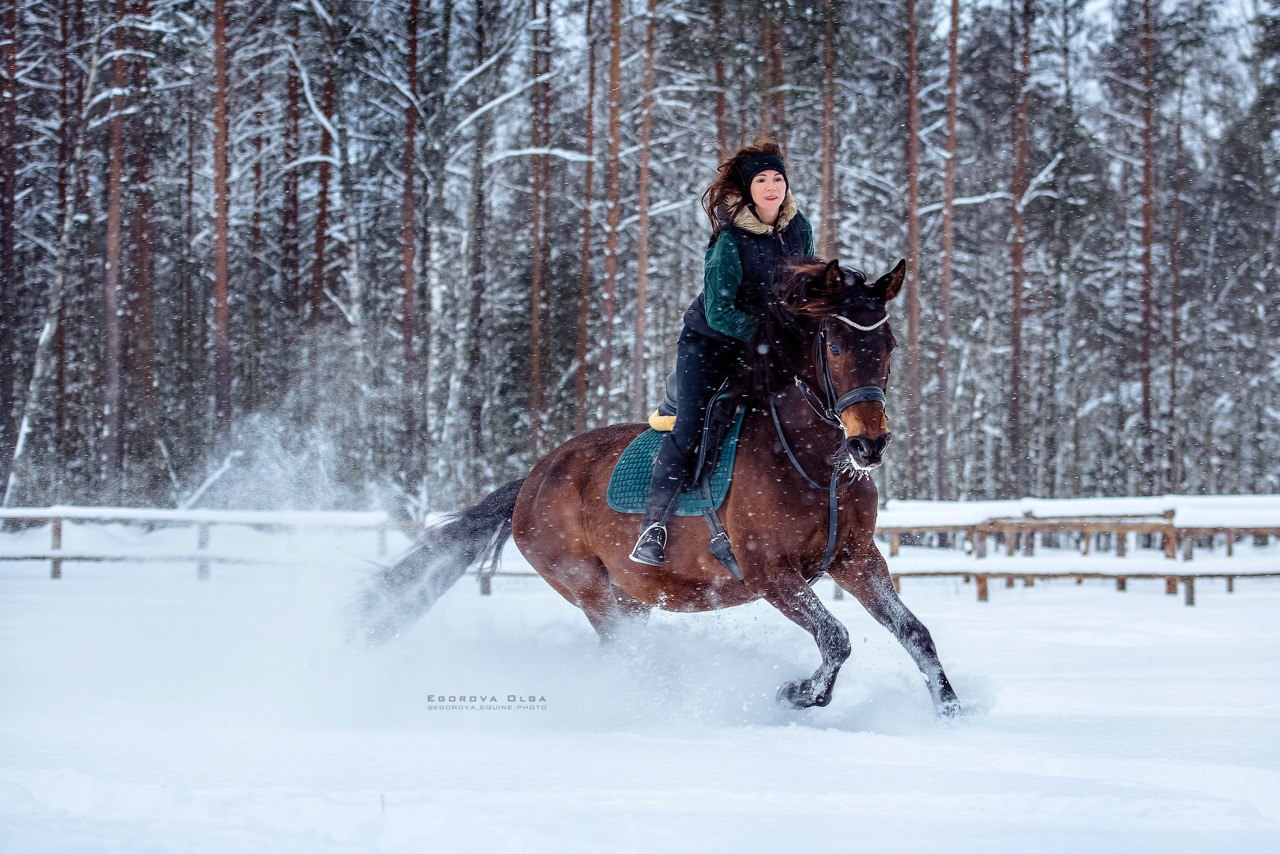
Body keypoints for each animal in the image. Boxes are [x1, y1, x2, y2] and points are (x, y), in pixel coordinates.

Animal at [358, 258, 962, 717]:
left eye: (889, 344)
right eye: (833, 344)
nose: (870, 444)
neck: (813, 461)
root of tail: (530, 480)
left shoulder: (854, 558)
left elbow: (914, 632)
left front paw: (950, 709)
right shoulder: (771, 574)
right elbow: (835, 638)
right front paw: (797, 693)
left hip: (631, 598)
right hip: (591, 590)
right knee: (627, 655)